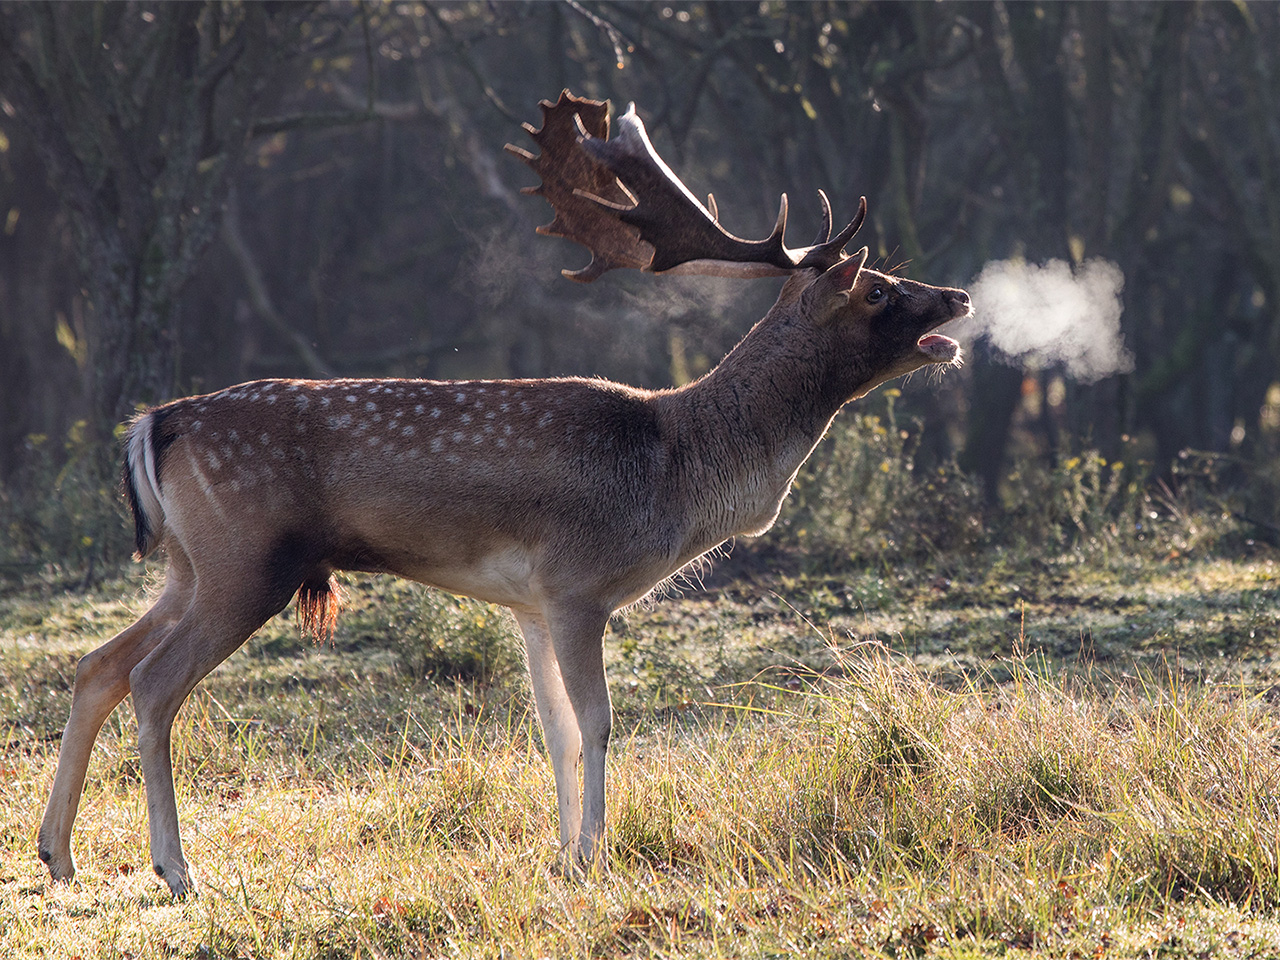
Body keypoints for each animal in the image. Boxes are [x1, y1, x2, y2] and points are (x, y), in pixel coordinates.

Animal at [37, 90, 967, 896]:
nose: (957, 294)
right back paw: (177, 869)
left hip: (190, 564)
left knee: (98, 664)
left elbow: (554, 730)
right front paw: (592, 857)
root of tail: (155, 423)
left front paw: (561, 854)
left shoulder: (528, 601)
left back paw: (60, 856)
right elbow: (596, 722)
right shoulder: (579, 583)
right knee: (153, 681)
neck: (677, 465)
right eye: (878, 288)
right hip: (246, 559)